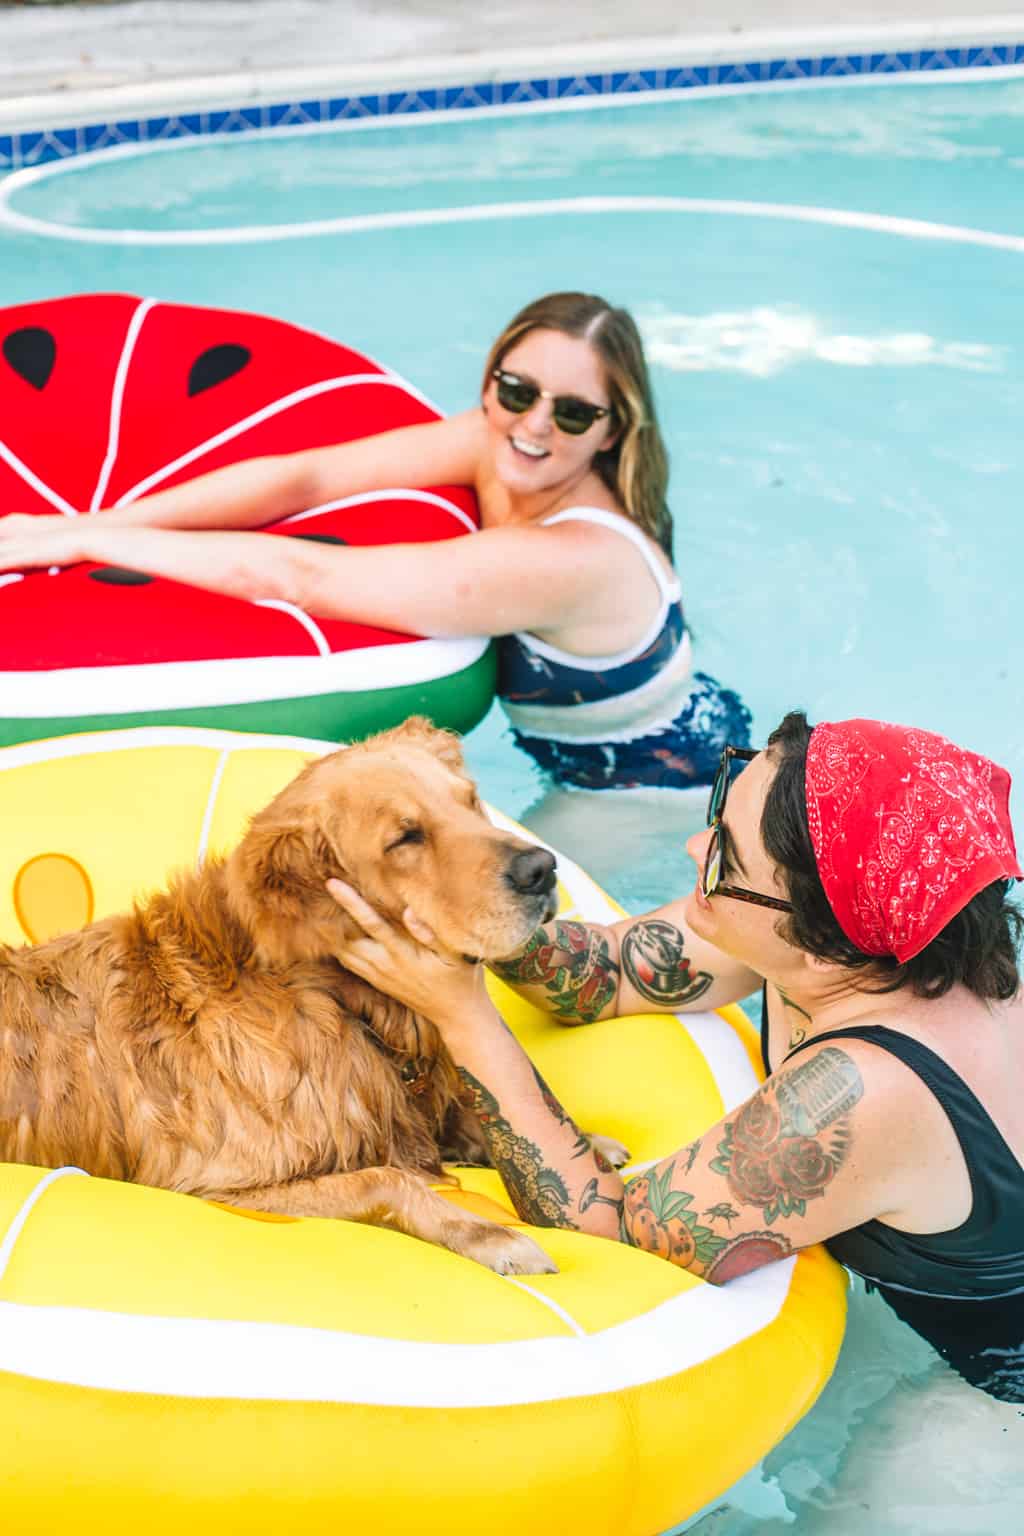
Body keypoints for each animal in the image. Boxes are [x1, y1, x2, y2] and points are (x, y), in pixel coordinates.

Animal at [0, 724, 561, 1277]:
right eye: (405, 838)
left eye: (470, 801)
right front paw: (492, 1235)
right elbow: (385, 1178)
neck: (319, 994)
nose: (542, 868)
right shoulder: (217, 1186)